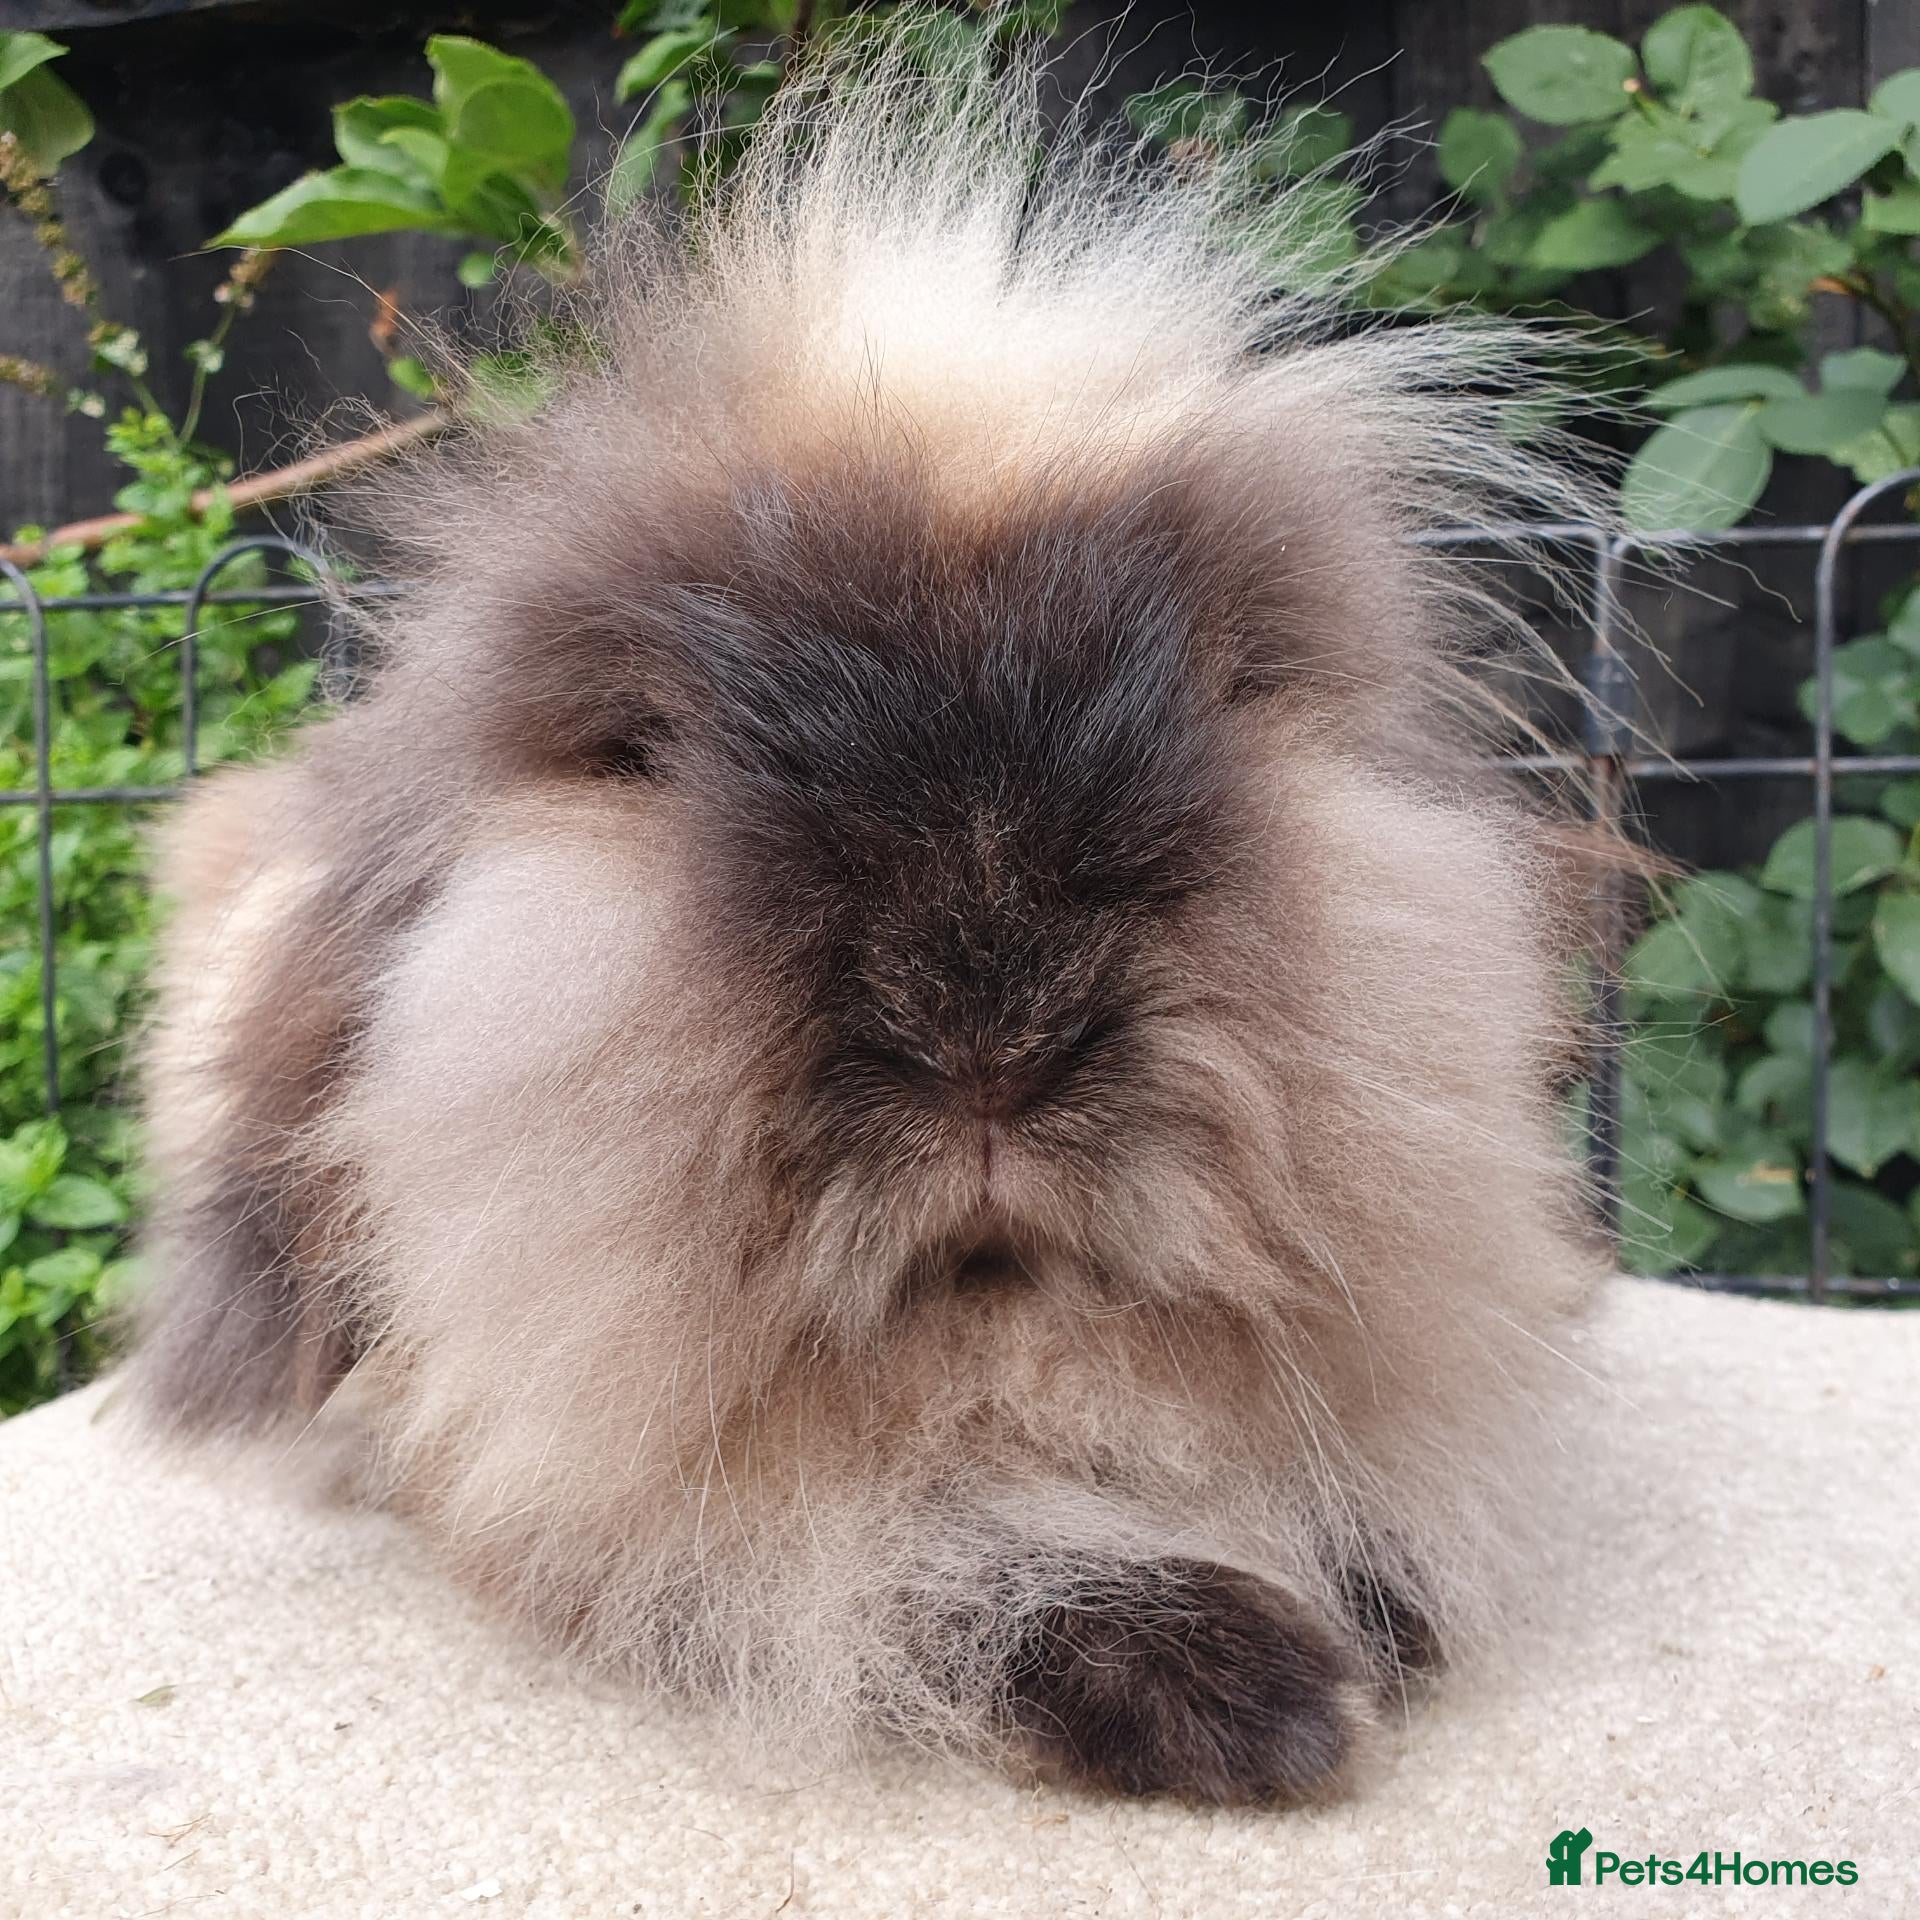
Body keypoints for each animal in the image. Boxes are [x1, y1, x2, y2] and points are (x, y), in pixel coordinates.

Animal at [129, 19, 1612, 1806]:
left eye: (1231, 687)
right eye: (646, 750)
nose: (991, 1042)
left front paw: (1379, 1601)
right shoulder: (586, 1500)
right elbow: (894, 1563)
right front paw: (1263, 1695)